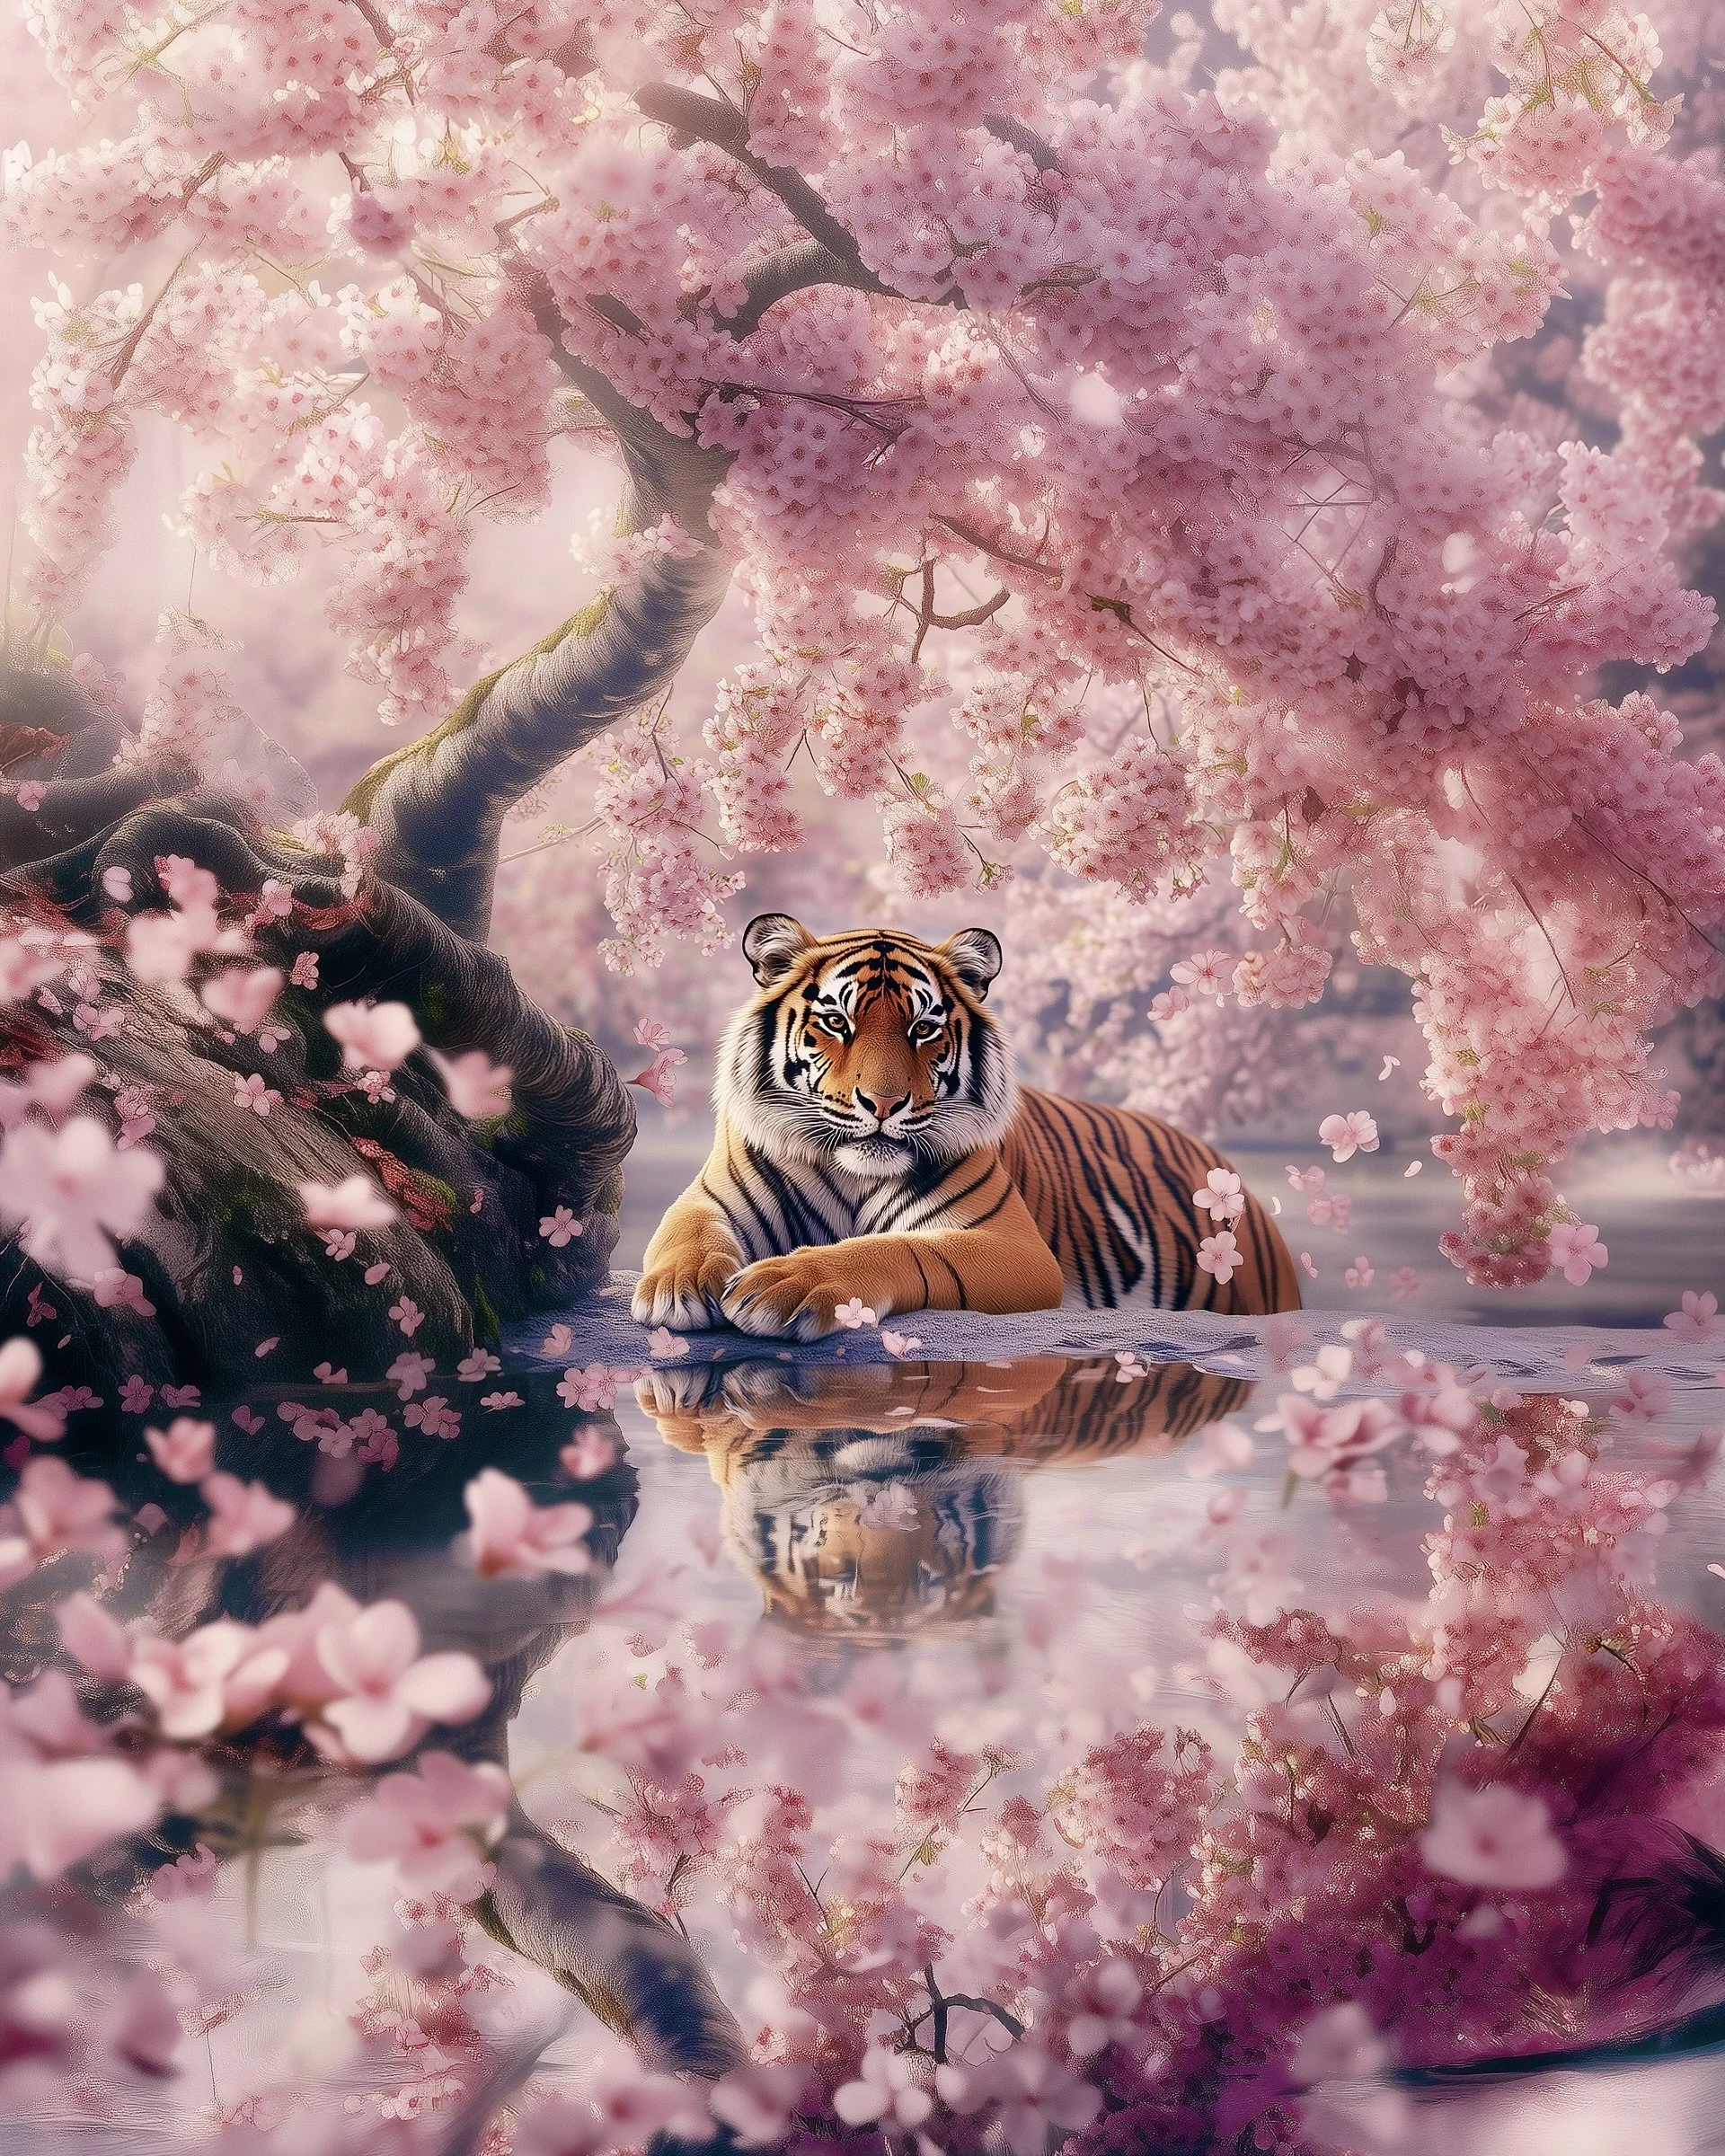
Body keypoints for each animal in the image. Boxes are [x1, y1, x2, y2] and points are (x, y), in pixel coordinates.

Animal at [632, 914, 1301, 1339]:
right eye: (836, 1022)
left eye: (923, 1028)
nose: (882, 1103)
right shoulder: (708, 1197)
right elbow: (686, 1233)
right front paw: (679, 1286)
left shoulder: (1012, 1246)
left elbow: (896, 1249)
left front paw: (789, 1282)